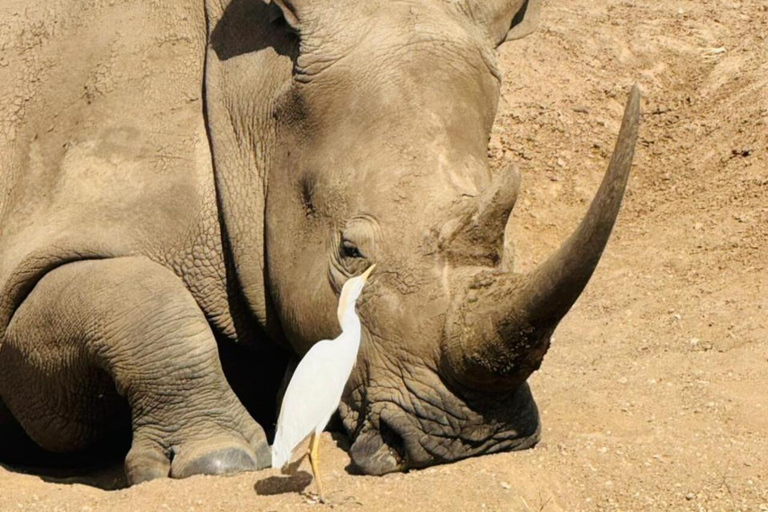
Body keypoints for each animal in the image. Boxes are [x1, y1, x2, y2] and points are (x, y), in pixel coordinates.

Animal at [0, 0, 639, 483]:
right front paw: (219, 459)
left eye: (507, 248)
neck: (253, 100)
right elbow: (134, 298)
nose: (477, 437)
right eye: (349, 253)